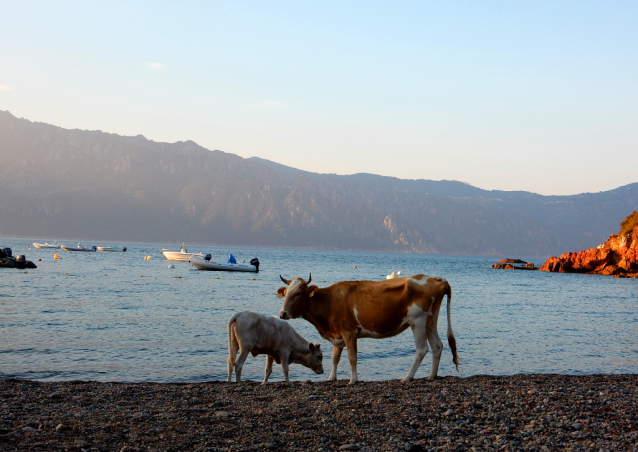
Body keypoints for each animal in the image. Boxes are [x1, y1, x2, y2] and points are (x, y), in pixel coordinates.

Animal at [280, 274, 460, 384]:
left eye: (298, 293)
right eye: (286, 293)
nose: (282, 313)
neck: (329, 301)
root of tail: (435, 278)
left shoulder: (349, 332)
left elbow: (352, 357)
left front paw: (352, 380)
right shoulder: (338, 334)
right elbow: (334, 358)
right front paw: (331, 378)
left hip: (419, 321)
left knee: (422, 350)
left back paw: (407, 377)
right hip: (431, 320)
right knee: (437, 346)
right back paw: (431, 376)